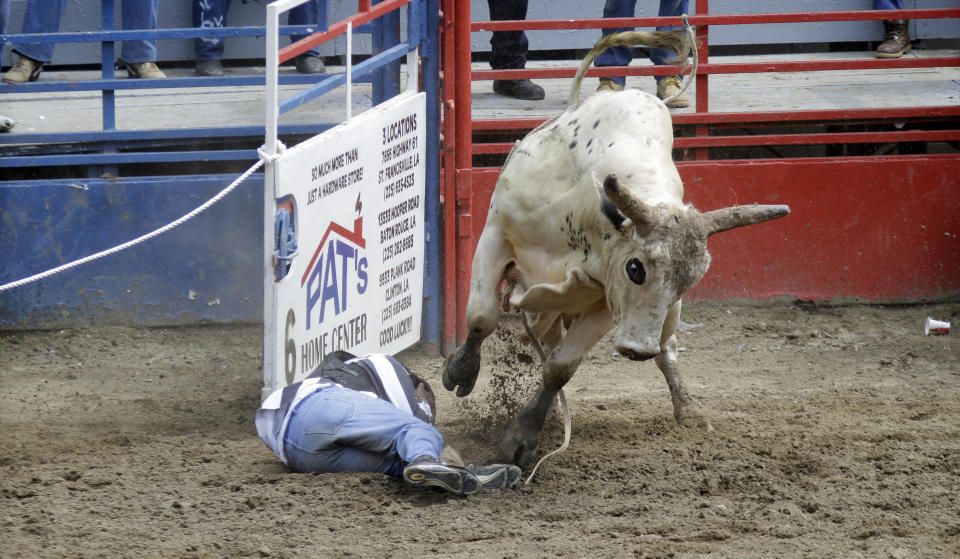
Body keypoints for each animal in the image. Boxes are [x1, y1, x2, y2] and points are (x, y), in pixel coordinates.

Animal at [440, 31, 788, 468]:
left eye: (690, 282)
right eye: (636, 268)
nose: (637, 350)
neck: (578, 214)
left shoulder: (606, 299)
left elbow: (560, 367)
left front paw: (523, 436)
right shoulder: (496, 236)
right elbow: (481, 318)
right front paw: (460, 372)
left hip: (661, 319)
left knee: (668, 348)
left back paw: (687, 408)